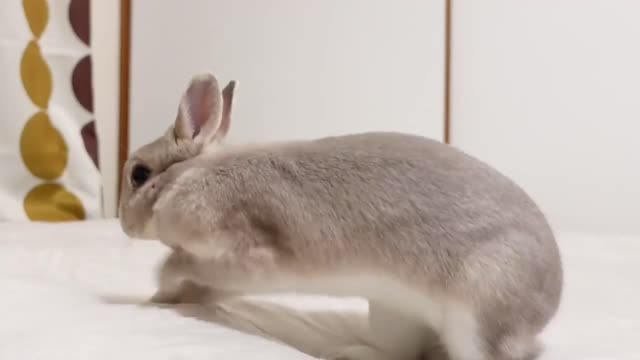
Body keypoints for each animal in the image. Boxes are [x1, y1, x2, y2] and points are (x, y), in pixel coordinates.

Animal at [119, 71, 560, 358]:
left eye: (139, 174)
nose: (123, 223)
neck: (187, 175)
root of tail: (549, 301)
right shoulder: (232, 276)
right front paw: (169, 297)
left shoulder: (246, 255)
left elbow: (178, 264)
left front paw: (161, 288)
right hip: (395, 314)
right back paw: (349, 351)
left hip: (479, 311)